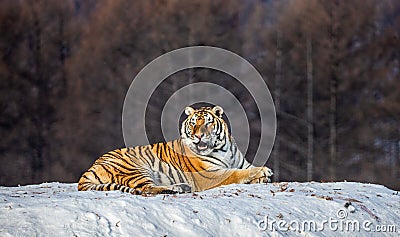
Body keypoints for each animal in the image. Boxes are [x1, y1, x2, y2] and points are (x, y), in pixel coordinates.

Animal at [77, 105, 272, 194]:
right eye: (193, 124)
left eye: (207, 123)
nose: (198, 136)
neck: (222, 147)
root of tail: (90, 168)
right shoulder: (210, 175)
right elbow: (234, 173)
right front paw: (264, 172)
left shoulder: (243, 163)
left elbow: (245, 169)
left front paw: (262, 176)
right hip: (135, 168)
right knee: (146, 189)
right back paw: (175, 189)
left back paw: (181, 187)